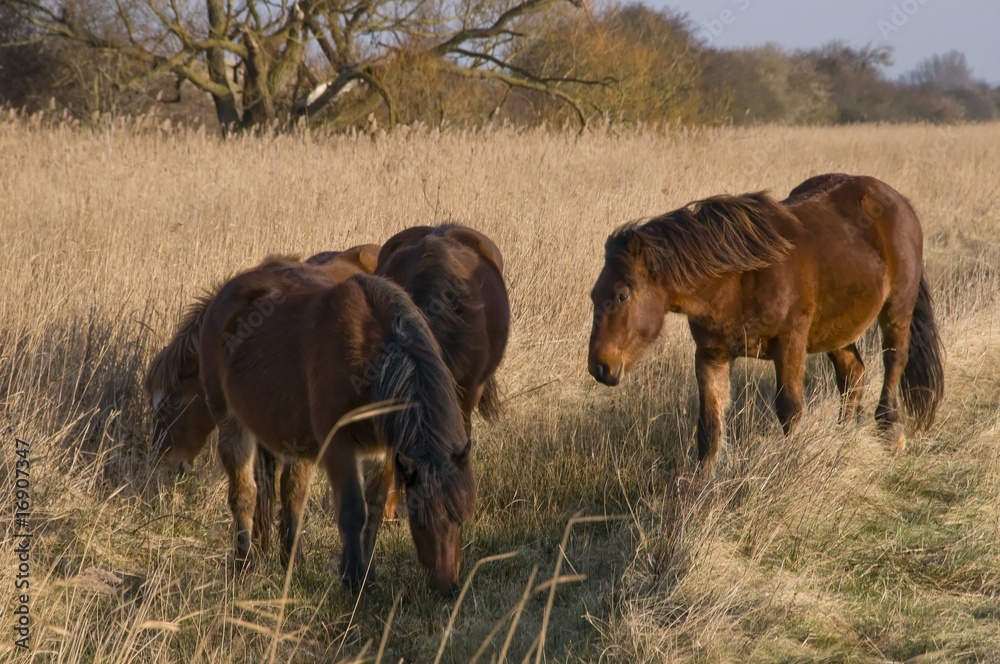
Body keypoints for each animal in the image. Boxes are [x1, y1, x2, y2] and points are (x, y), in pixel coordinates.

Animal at [198, 266, 475, 594]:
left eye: (461, 516)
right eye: (419, 519)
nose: (448, 587)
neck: (371, 360)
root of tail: (222, 296)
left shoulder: (383, 451)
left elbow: (374, 512)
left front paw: (368, 575)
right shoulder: (338, 446)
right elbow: (353, 509)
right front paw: (353, 579)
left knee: (292, 494)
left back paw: (292, 562)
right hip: (232, 424)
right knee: (244, 494)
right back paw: (244, 566)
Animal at [588, 173, 944, 475]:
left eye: (621, 295)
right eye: (594, 295)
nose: (599, 366)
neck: (740, 278)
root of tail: (899, 201)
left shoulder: (790, 346)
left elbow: (789, 410)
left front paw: (790, 466)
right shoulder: (711, 354)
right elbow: (709, 426)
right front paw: (700, 491)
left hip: (896, 311)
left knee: (894, 361)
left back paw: (891, 431)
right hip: (838, 329)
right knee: (852, 373)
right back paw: (844, 437)